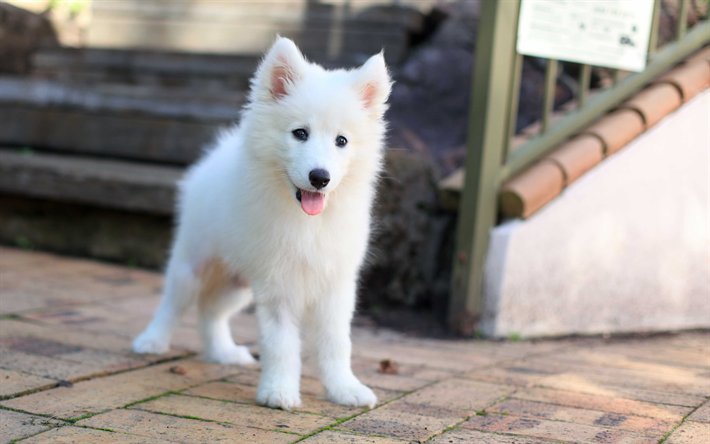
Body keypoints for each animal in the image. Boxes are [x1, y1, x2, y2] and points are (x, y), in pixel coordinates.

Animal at [131, 36, 392, 412]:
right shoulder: (278, 285)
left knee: (210, 311)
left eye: (341, 141)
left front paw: (345, 389)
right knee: (174, 302)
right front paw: (279, 392)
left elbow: (336, 343)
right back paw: (152, 341)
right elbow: (281, 344)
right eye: (300, 133)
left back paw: (223, 353)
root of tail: (216, 154)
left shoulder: (336, 286)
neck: (308, 223)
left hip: (237, 282)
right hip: (193, 261)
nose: (320, 177)